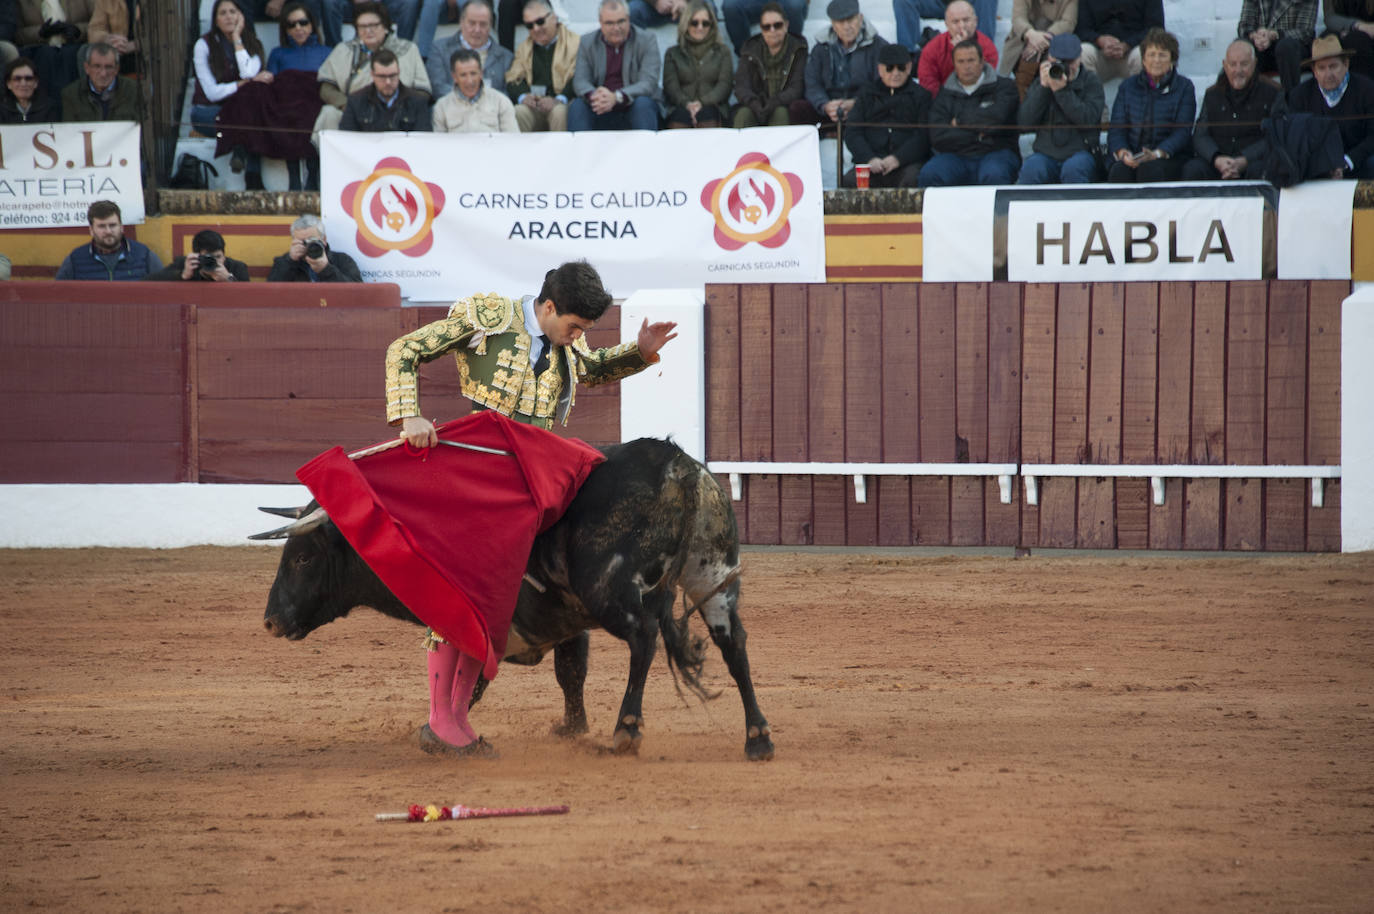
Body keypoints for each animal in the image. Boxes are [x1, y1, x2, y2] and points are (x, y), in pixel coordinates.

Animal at [258, 439, 774, 758]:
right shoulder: (566, 623)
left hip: (611, 589)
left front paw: (439, 735)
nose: (270, 621)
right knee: (734, 644)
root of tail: (676, 465)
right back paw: (757, 738)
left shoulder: (471, 618)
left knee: (644, 639)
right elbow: (570, 672)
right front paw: (570, 728)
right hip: (713, 575)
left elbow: (465, 680)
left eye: (302, 558)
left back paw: (626, 730)